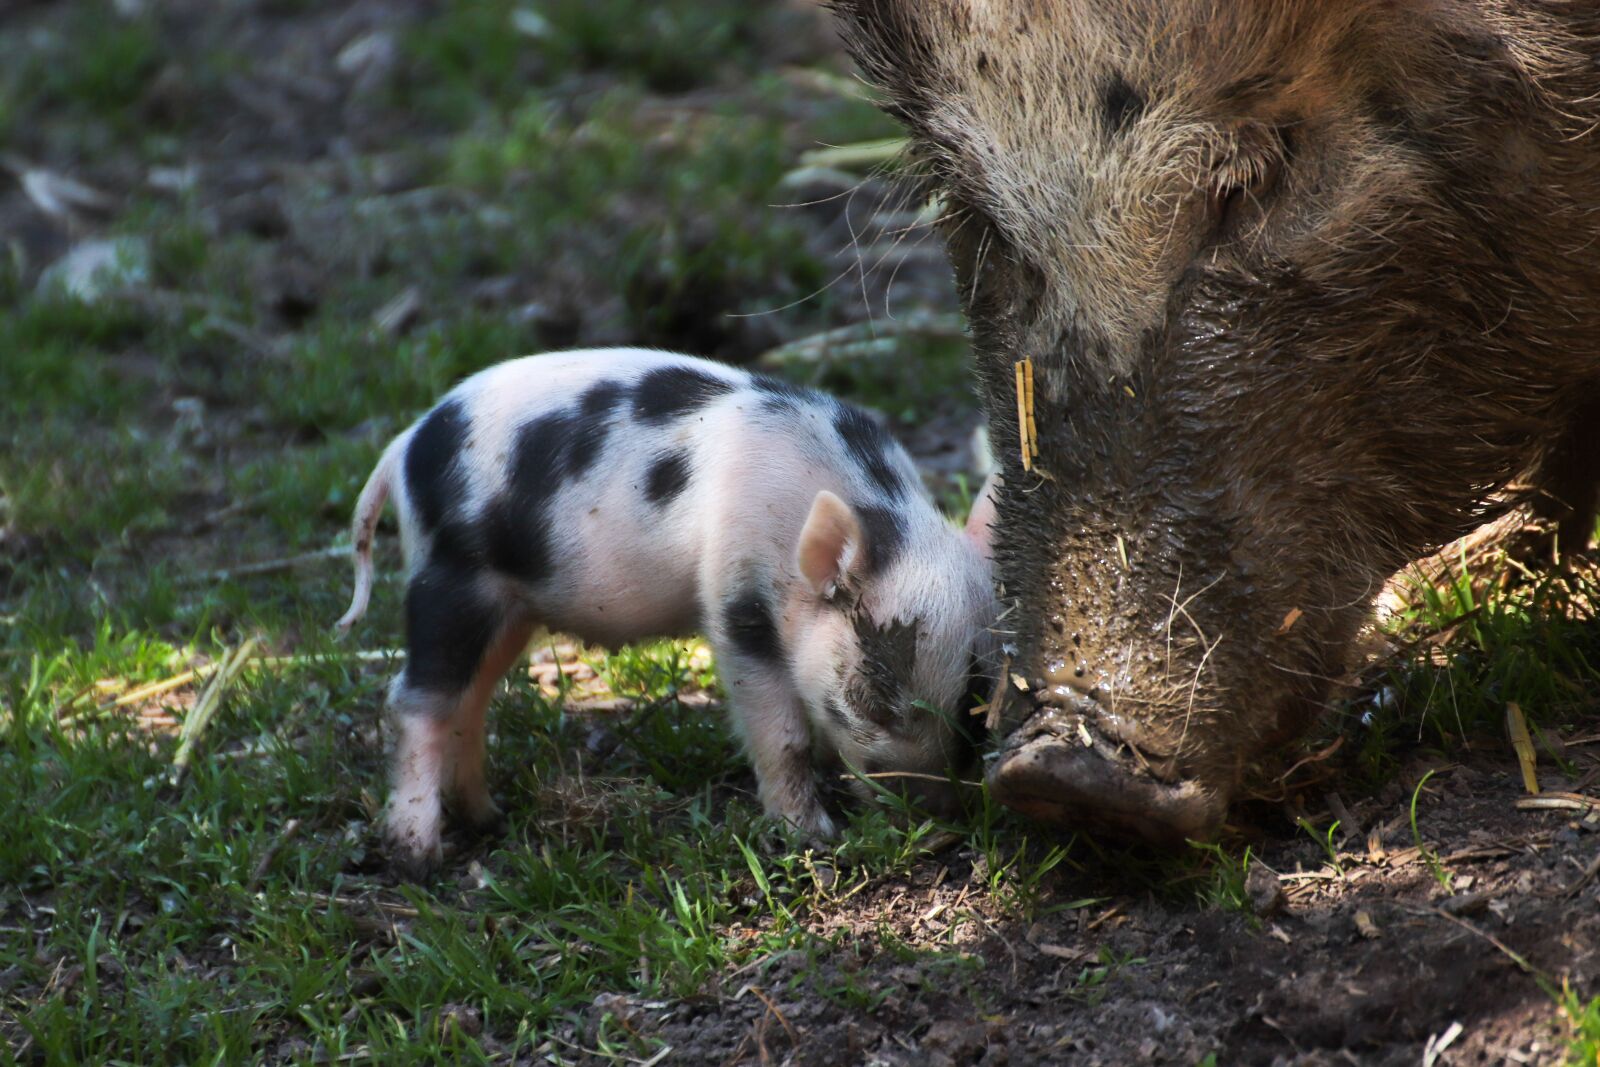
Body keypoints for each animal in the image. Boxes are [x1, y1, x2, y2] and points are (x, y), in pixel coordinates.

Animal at [335, 348, 999, 877]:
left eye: (974, 700)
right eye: (871, 699)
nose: (937, 814)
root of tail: (404, 446)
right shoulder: (736, 602)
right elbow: (782, 734)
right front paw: (810, 837)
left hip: (509, 607)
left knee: (470, 700)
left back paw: (487, 817)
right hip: (451, 576)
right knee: (415, 700)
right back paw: (418, 856)